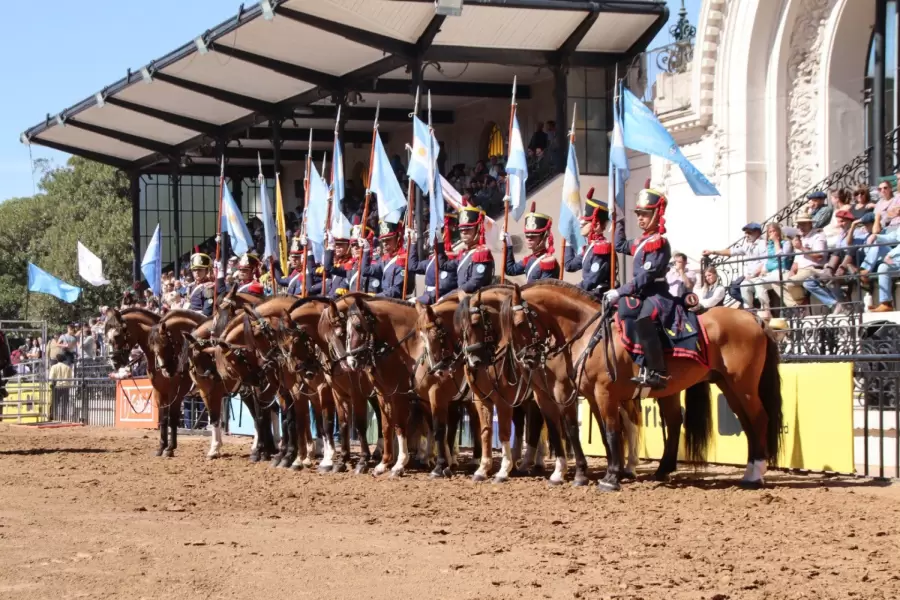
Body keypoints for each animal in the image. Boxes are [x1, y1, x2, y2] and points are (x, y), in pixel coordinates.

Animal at [500, 278, 780, 490]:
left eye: (519, 323)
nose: (526, 358)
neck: (589, 334)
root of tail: (753, 319)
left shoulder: (602, 393)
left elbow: (612, 432)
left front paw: (611, 477)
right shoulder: (590, 395)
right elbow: (598, 432)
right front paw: (600, 473)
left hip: (743, 385)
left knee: (759, 419)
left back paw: (755, 474)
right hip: (728, 385)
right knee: (743, 423)